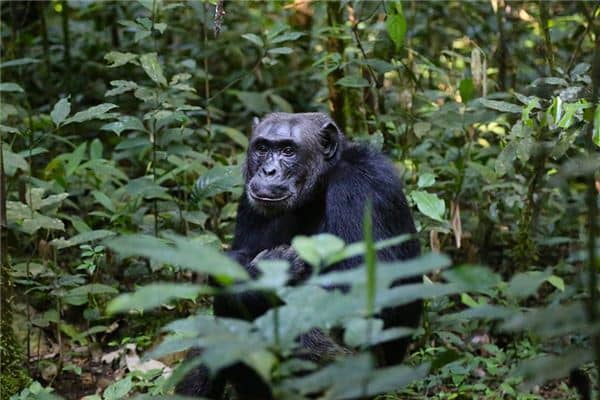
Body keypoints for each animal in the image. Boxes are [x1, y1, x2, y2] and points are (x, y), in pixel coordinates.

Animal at [177, 112, 422, 400]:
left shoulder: (362, 187)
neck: (319, 186)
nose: (268, 171)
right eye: (262, 148)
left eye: (288, 151)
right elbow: (238, 257)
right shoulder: (249, 201)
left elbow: (362, 288)